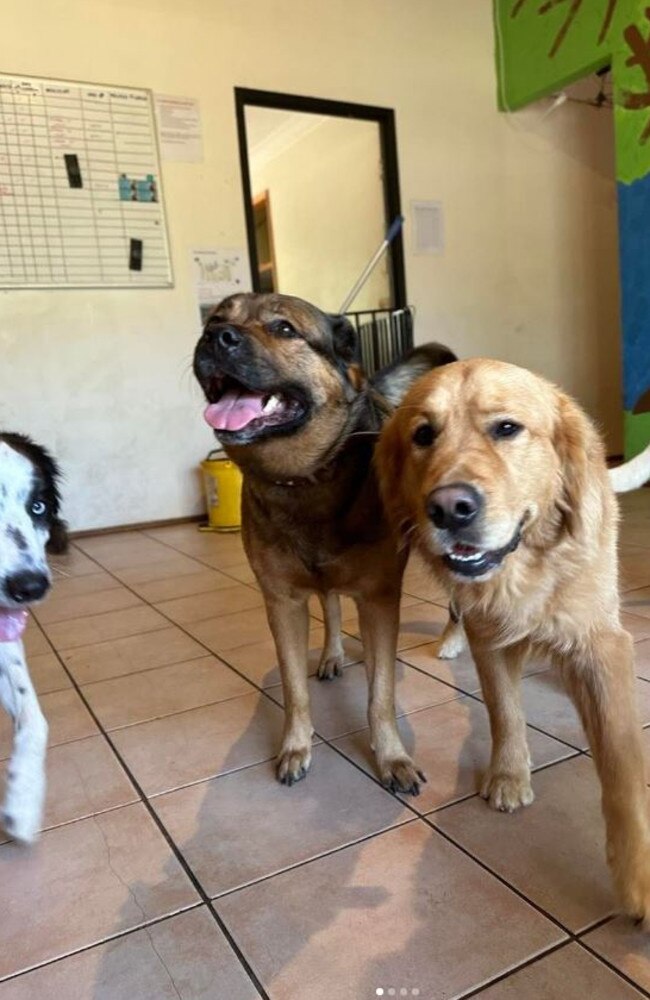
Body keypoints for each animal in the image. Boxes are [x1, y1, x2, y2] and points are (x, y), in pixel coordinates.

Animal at [195, 292, 454, 792]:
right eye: (215, 318)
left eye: (284, 329)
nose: (215, 336)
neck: (305, 478)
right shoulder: (282, 602)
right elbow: (295, 689)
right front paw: (296, 747)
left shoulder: (379, 598)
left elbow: (379, 694)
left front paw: (391, 756)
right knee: (331, 607)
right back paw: (333, 655)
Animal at [372, 360, 648, 920]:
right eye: (423, 435)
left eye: (506, 428)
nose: (449, 508)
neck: (526, 570)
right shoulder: (490, 639)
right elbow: (504, 711)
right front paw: (508, 776)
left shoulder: (603, 644)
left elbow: (622, 767)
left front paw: (637, 880)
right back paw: (449, 640)